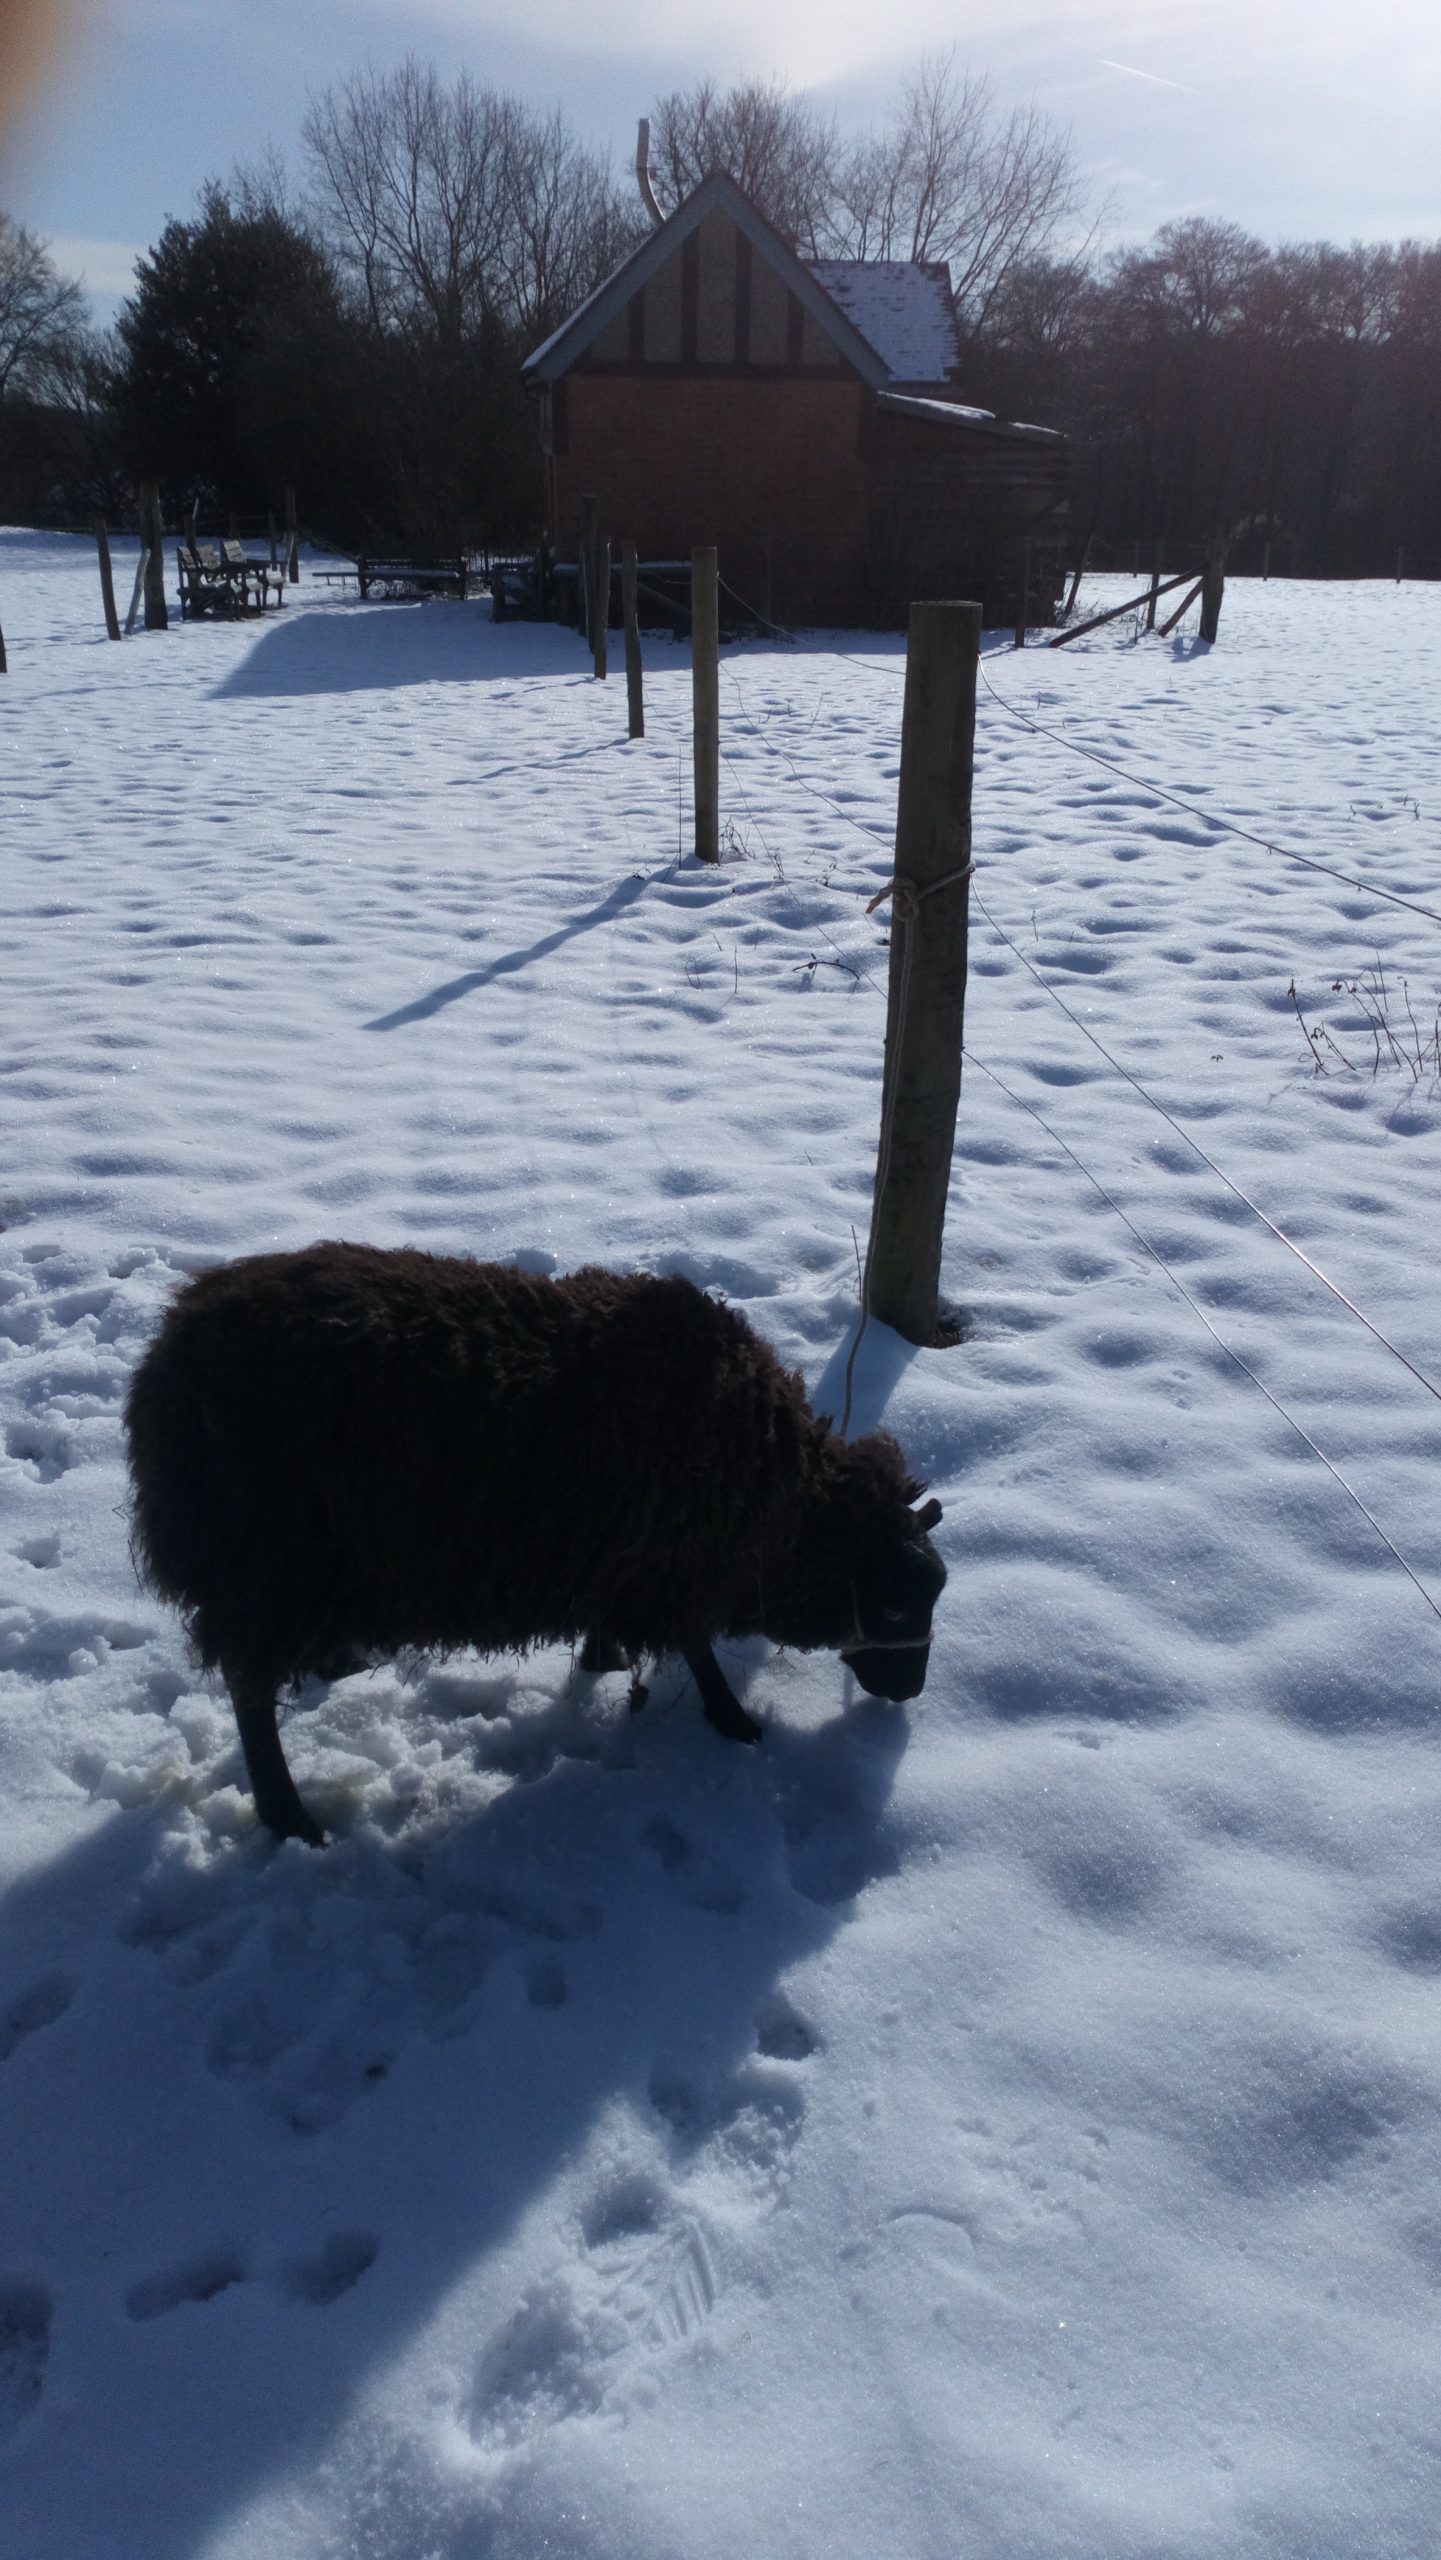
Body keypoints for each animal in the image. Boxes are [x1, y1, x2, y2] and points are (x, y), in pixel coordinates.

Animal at [124, 1243, 946, 1845]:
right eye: (894, 1609)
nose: (908, 1695)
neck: (776, 1492)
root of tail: (167, 1358)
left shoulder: (628, 1556)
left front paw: (602, 1660)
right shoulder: (675, 1562)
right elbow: (696, 1645)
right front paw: (733, 1721)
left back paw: (336, 1670)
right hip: (267, 1567)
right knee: (250, 1696)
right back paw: (290, 1817)